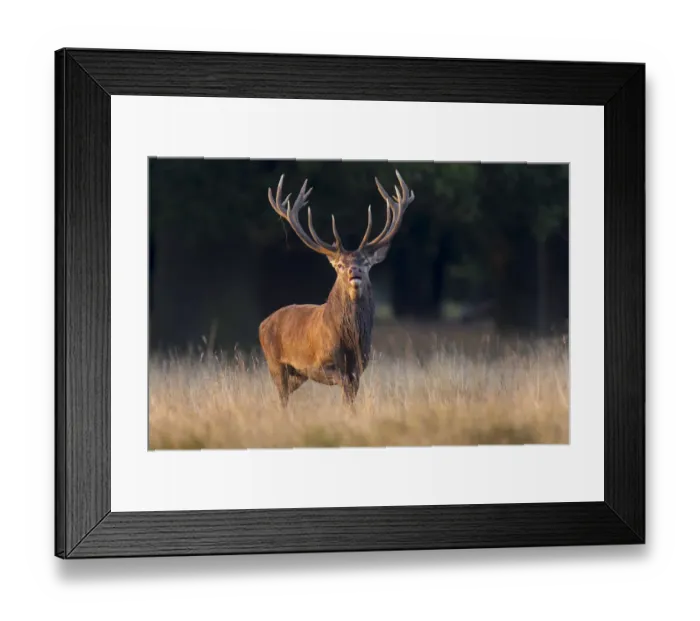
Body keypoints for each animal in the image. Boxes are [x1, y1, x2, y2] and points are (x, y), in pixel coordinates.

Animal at [258, 170, 414, 407]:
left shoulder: (360, 365)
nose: (354, 271)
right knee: (282, 397)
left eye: (366, 263)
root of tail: (262, 324)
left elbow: (349, 396)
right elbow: (343, 384)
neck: (349, 340)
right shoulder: (320, 363)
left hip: (296, 375)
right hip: (275, 363)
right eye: (340, 265)